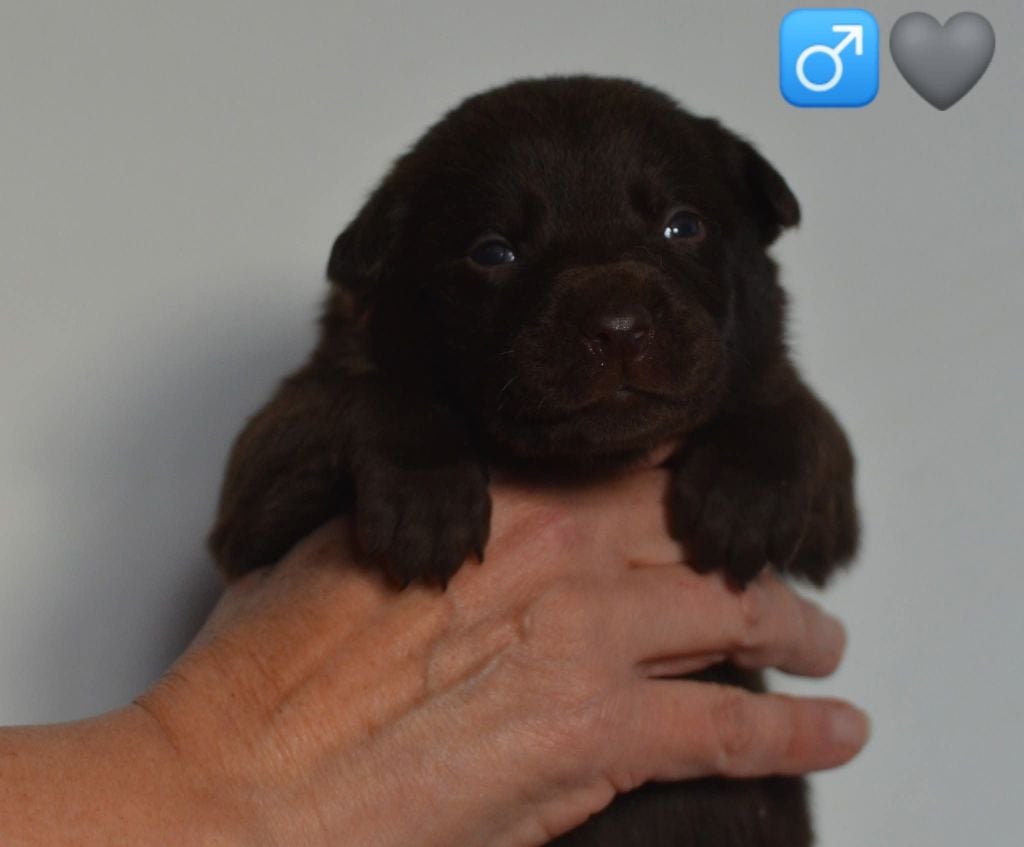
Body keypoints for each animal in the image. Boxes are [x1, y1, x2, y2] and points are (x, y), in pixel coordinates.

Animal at [209, 75, 859, 846]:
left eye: (683, 226)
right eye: (494, 253)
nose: (618, 325)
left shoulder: (830, 512)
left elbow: (789, 407)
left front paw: (744, 492)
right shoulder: (260, 482)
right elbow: (368, 397)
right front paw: (428, 499)